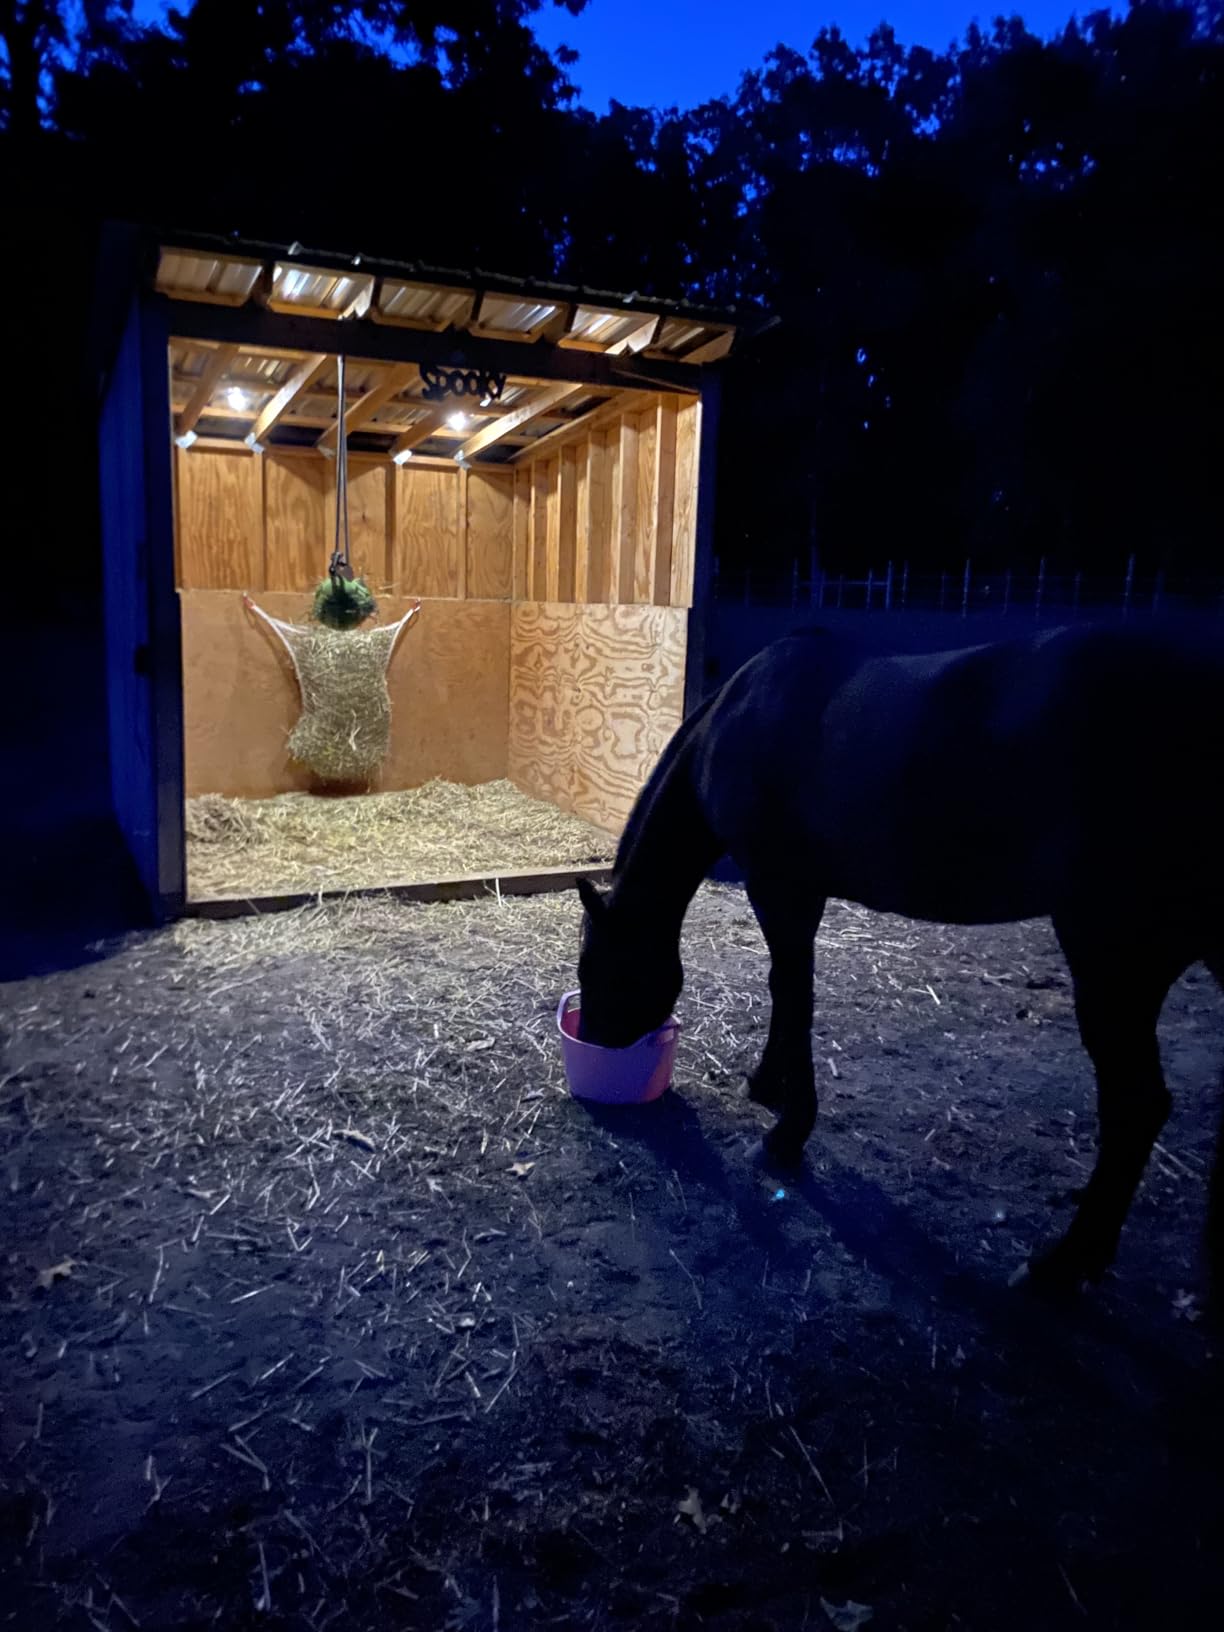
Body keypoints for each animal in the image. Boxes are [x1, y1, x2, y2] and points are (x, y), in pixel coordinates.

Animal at [575, 621, 1224, 1297]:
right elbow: (787, 993)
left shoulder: (783, 890)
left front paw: (787, 1132)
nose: (595, 1039)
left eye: (596, 969)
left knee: (1138, 1105)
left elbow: (793, 992)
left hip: (1112, 957)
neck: (733, 720)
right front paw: (768, 1085)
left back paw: (1062, 1264)